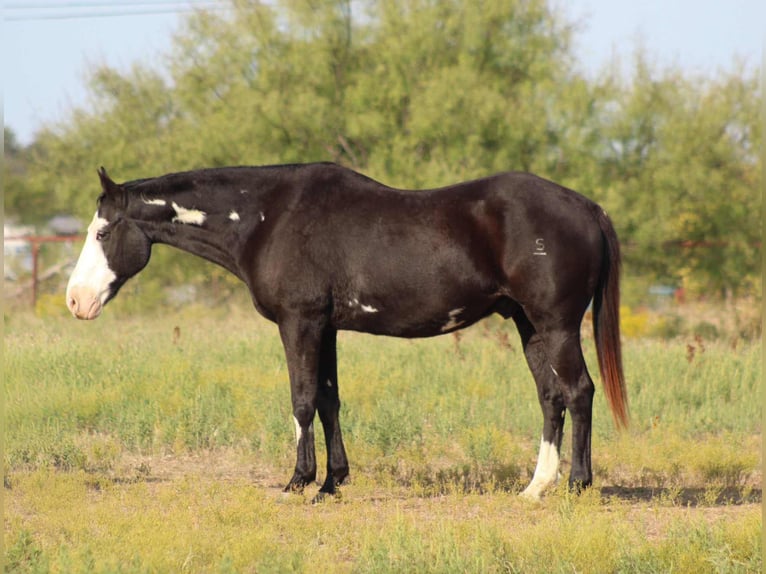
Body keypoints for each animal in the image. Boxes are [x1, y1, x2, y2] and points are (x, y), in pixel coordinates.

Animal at [66, 162, 628, 501]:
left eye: (102, 232)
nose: (76, 300)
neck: (267, 217)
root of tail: (587, 207)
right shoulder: (327, 327)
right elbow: (329, 400)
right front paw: (333, 482)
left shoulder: (300, 322)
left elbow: (301, 400)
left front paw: (299, 481)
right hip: (529, 325)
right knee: (551, 397)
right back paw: (535, 488)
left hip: (557, 325)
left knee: (579, 391)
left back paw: (577, 485)